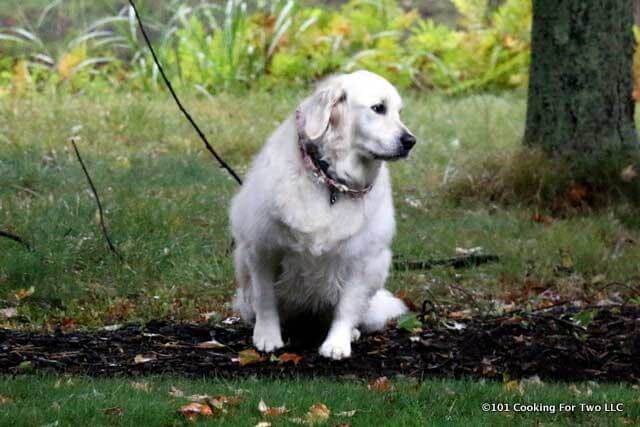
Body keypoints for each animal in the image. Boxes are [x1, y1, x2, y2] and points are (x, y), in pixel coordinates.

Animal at [230, 72, 416, 360]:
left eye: (399, 112)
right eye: (378, 108)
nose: (410, 141)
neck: (331, 183)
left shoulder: (363, 258)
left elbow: (347, 307)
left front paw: (337, 343)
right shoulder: (262, 248)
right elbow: (265, 298)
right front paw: (268, 337)